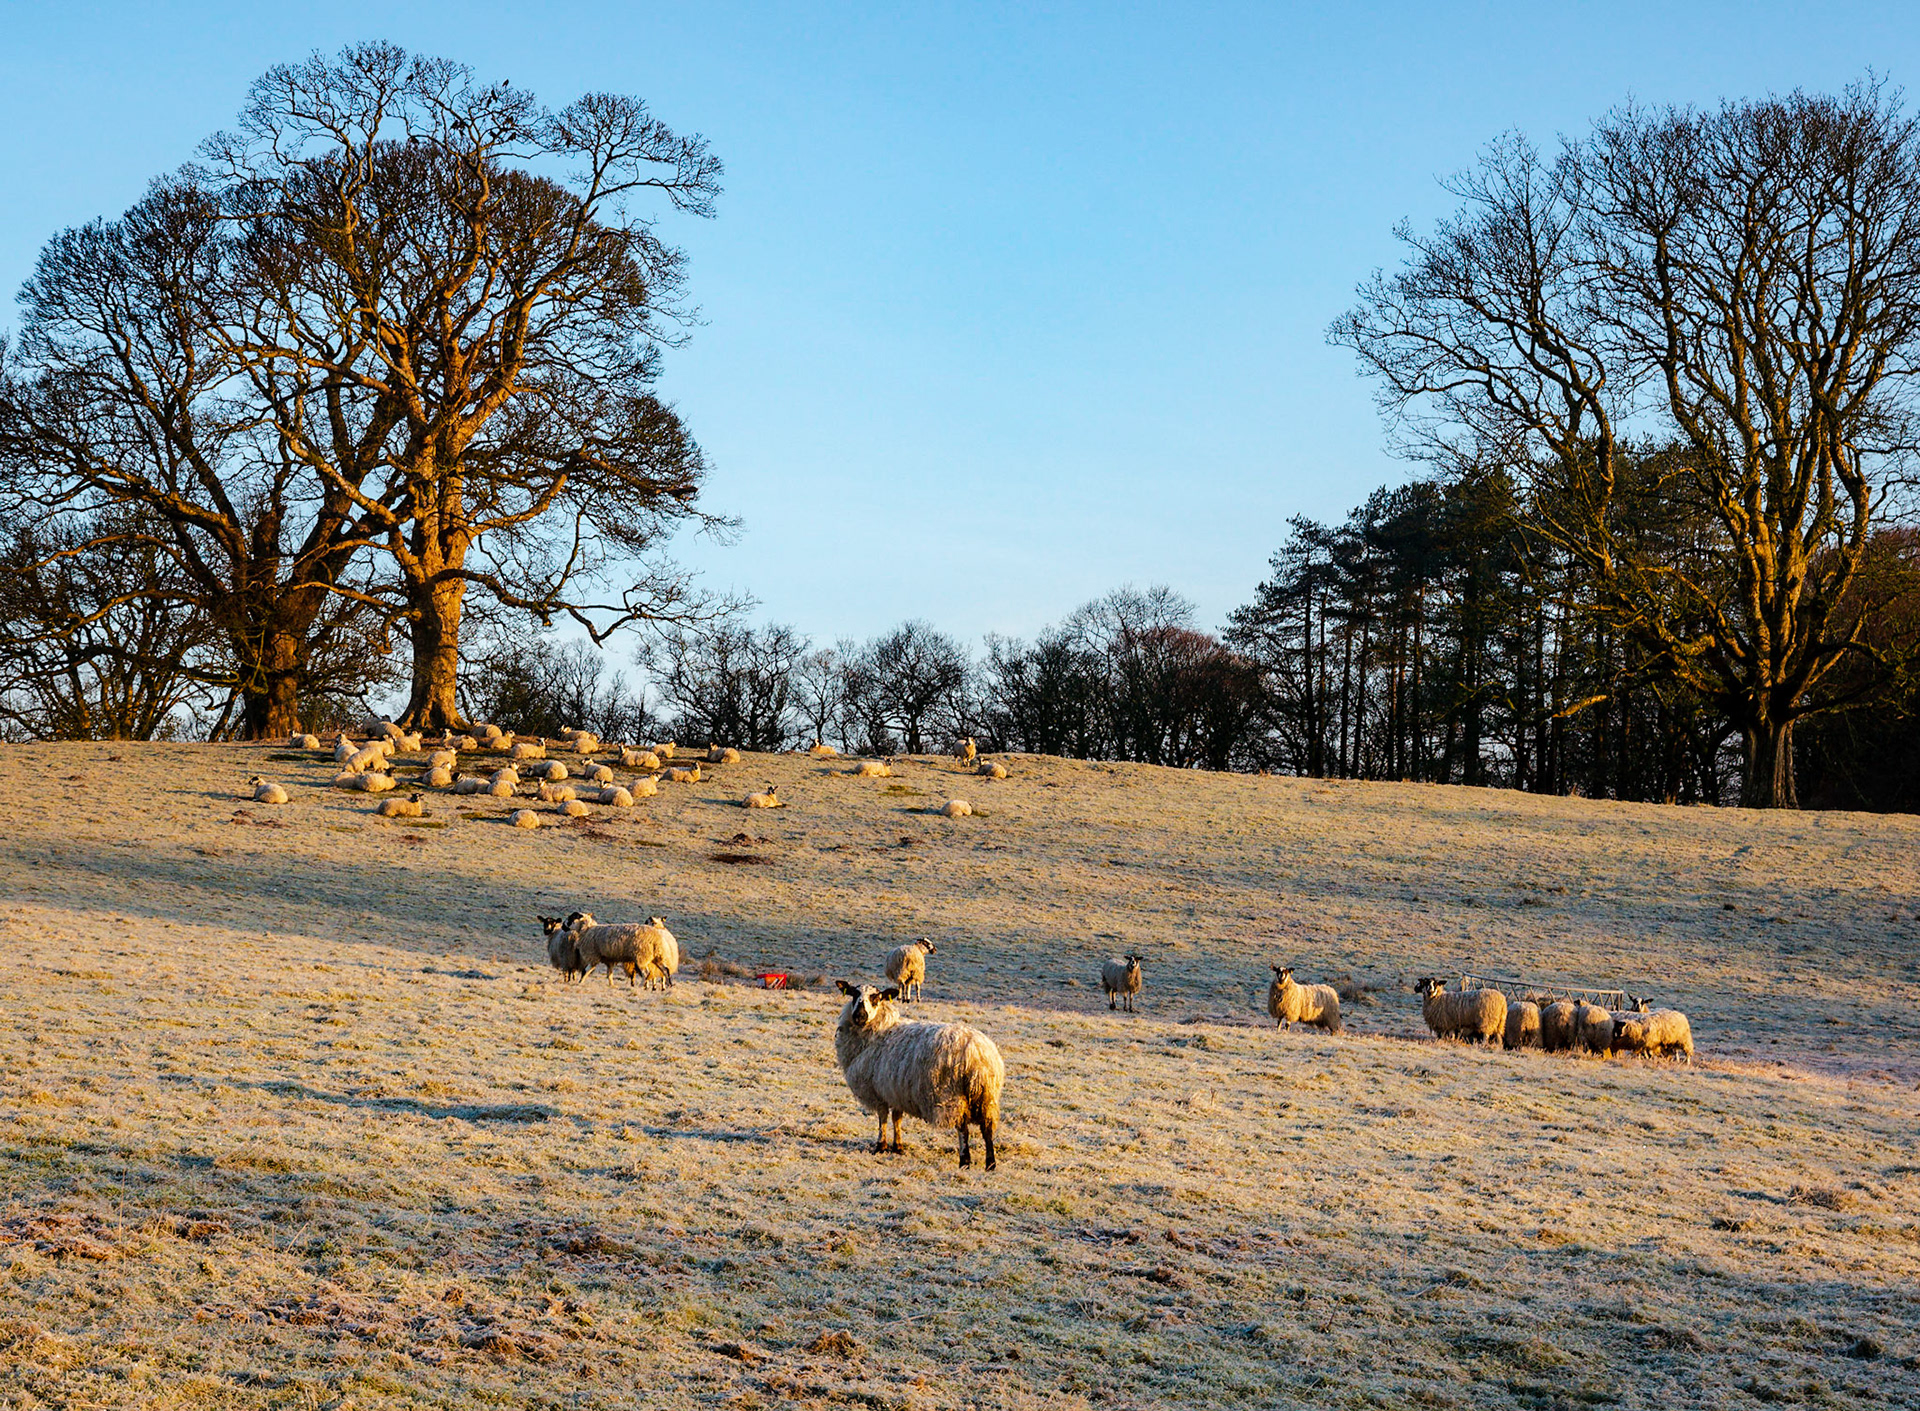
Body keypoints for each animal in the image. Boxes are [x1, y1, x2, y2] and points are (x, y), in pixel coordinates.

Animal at [833, 981, 1005, 1170]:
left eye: (876, 997)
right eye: (854, 994)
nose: (859, 1016)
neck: (879, 1031)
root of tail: (978, 1054)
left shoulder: (878, 1091)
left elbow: (882, 1117)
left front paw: (880, 1146)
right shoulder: (896, 1090)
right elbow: (897, 1118)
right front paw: (898, 1147)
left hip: (953, 1096)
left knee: (962, 1128)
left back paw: (964, 1160)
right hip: (987, 1097)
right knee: (987, 1129)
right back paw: (990, 1164)